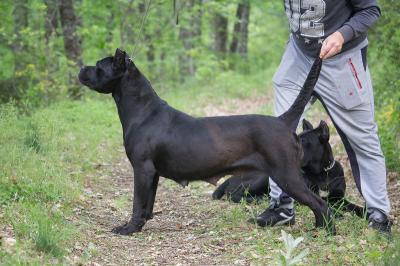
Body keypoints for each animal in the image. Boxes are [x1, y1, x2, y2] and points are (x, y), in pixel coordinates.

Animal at [78, 48, 334, 235]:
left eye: (99, 66)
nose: (81, 68)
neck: (143, 110)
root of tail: (282, 121)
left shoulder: (142, 169)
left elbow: (136, 202)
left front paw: (128, 229)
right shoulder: (152, 173)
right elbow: (147, 204)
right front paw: (141, 224)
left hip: (287, 175)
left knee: (320, 204)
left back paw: (326, 232)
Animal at [214, 119, 364, 218]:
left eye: (303, 141)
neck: (322, 172)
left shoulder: (338, 197)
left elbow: (351, 205)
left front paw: (364, 212)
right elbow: (325, 202)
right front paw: (338, 214)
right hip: (263, 178)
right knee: (234, 194)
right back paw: (260, 199)